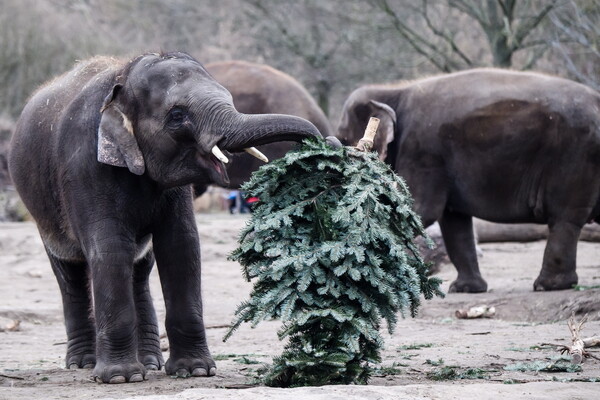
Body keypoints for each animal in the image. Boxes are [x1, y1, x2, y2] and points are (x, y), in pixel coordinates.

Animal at [8, 51, 318, 382]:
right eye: (178, 115)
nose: (323, 145)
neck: (122, 78)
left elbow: (180, 246)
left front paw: (195, 371)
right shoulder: (84, 167)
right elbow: (110, 249)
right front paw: (120, 377)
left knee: (139, 269)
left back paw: (150, 363)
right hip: (42, 212)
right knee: (70, 272)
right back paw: (83, 363)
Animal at [338, 68, 600, 294]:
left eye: (343, 137)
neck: (393, 91)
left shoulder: (422, 151)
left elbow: (419, 210)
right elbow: (453, 221)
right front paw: (465, 289)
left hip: (573, 156)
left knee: (564, 217)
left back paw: (549, 285)